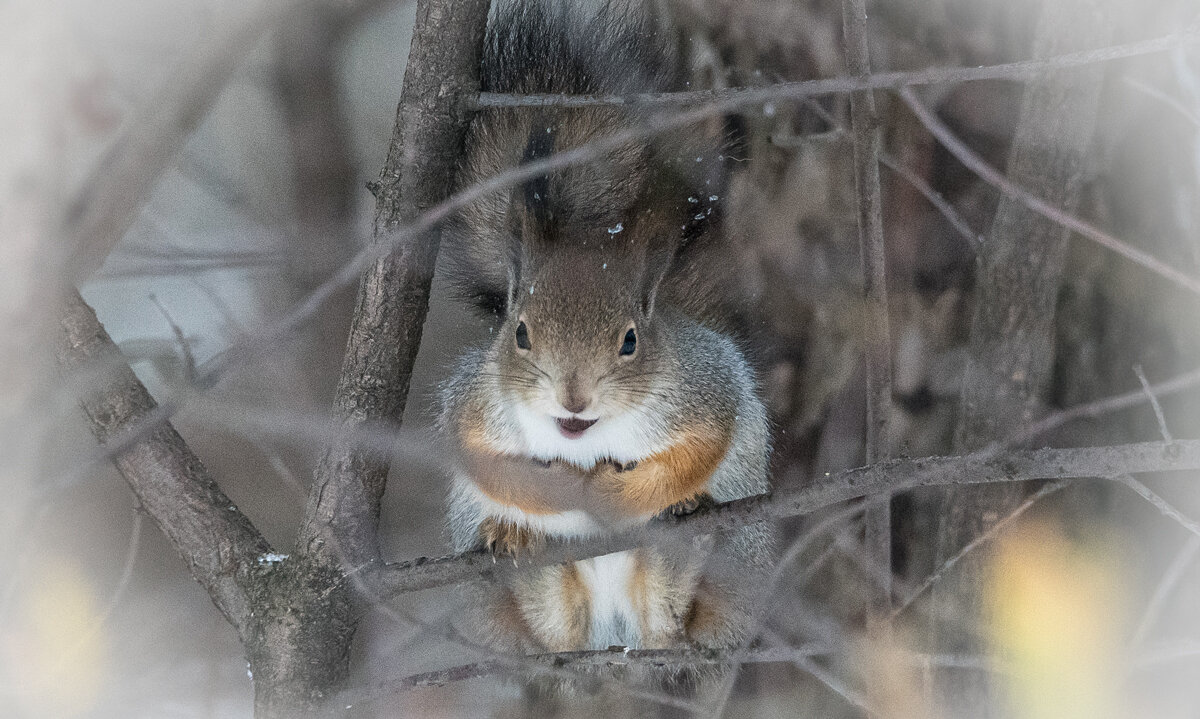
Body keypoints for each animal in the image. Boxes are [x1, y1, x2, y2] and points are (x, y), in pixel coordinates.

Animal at [436, 0, 772, 662]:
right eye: (519, 333)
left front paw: (621, 496)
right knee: (548, 632)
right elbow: (481, 458)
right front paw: (551, 498)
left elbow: (699, 449)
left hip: (737, 571)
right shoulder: (476, 403)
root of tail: (615, 637)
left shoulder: (702, 390)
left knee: (675, 621)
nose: (573, 399)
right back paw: (514, 544)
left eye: (630, 341)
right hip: (496, 612)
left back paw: (685, 540)